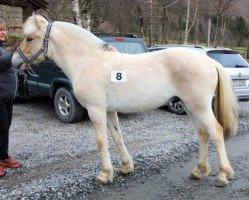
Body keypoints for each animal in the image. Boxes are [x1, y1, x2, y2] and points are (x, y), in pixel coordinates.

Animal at [11, 13, 237, 186]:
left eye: (29, 38)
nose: (14, 61)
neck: (87, 62)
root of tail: (209, 60)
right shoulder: (110, 110)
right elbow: (117, 137)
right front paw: (126, 167)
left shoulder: (96, 110)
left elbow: (101, 141)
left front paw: (104, 174)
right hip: (191, 107)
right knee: (203, 133)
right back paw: (198, 171)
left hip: (199, 107)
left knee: (216, 132)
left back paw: (222, 175)